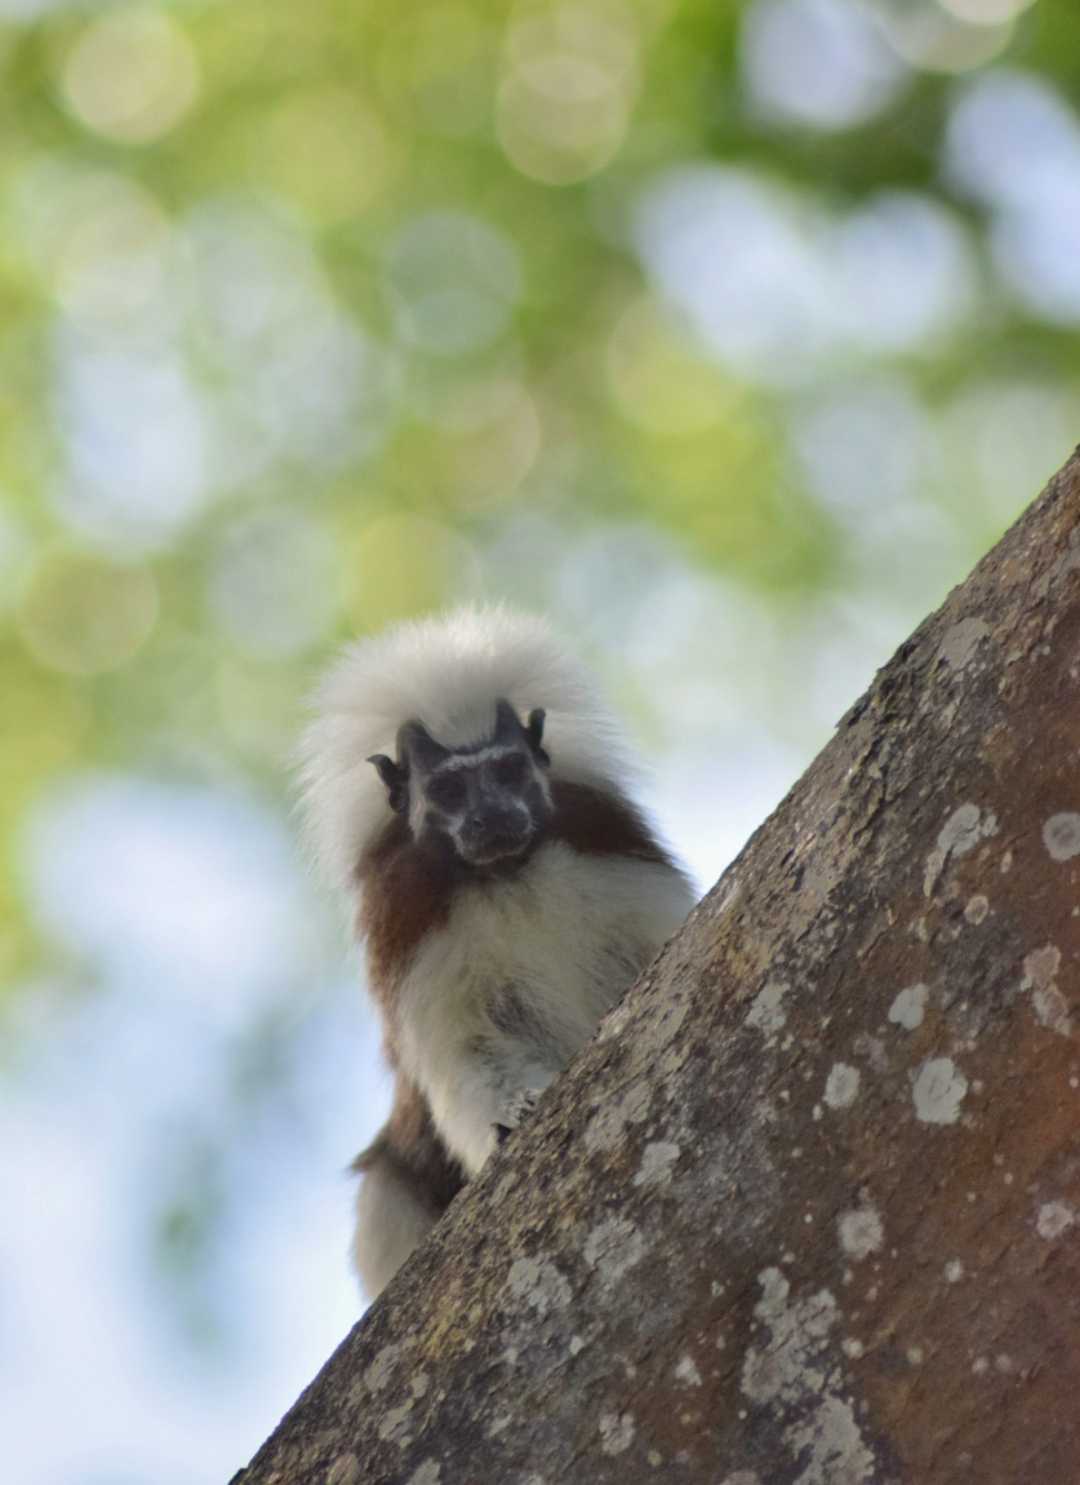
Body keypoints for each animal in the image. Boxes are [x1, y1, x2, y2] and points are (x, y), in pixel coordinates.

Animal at [299, 605, 696, 1299]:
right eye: (453, 790)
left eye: (507, 772)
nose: (493, 817)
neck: (508, 874)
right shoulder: (412, 922)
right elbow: (470, 1051)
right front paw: (517, 1113)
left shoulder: (608, 846)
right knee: (386, 1184)